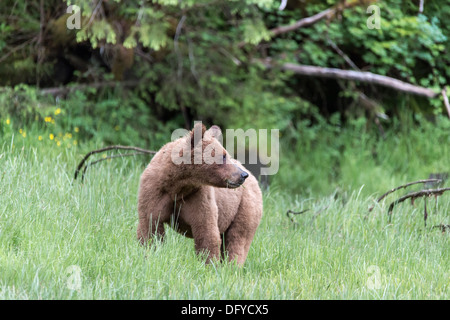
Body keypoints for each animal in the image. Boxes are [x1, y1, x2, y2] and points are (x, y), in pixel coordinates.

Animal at [137, 122, 264, 264]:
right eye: (223, 156)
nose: (243, 175)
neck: (177, 185)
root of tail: (254, 179)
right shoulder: (154, 190)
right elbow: (150, 225)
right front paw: (149, 253)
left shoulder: (198, 196)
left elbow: (206, 231)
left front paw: (208, 263)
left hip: (244, 207)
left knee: (237, 239)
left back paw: (231, 265)